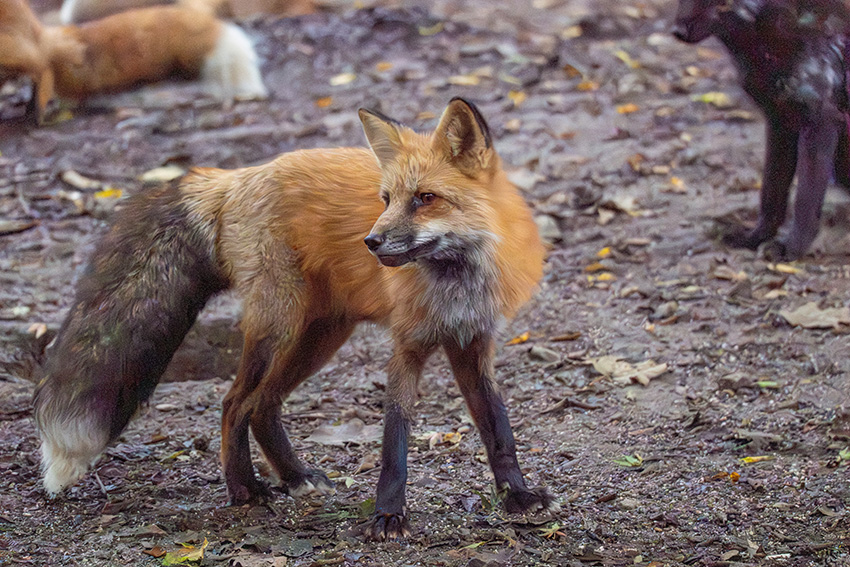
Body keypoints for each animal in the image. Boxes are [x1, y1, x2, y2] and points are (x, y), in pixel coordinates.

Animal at [32, 98, 556, 540]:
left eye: (425, 198)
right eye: (386, 199)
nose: (371, 242)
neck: (457, 279)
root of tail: (238, 176)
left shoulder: (473, 342)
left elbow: (497, 426)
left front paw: (516, 495)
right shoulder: (407, 346)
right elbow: (394, 440)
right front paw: (388, 514)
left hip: (322, 335)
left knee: (263, 405)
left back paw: (294, 476)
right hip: (278, 326)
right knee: (234, 403)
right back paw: (245, 490)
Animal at [673, 0, 850, 259]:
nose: (677, 31)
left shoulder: (820, 123)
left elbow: (805, 202)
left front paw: (791, 250)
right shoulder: (779, 123)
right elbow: (771, 193)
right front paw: (755, 238)